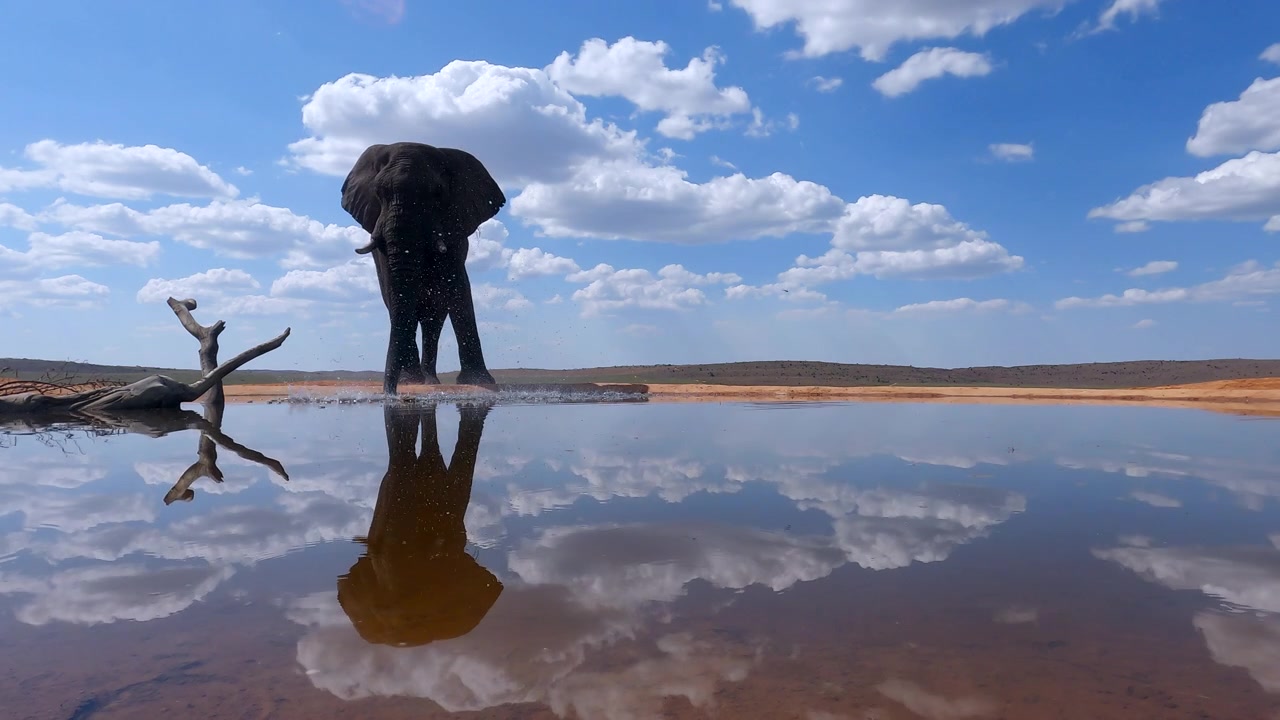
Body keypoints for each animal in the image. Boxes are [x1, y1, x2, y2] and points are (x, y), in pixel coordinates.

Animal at [340, 141, 506, 394]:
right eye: (379, 193)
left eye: (437, 193)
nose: (390, 393)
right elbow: (393, 290)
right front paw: (409, 382)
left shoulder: (454, 227)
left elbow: (457, 285)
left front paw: (480, 381)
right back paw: (417, 380)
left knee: (432, 321)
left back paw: (429, 380)